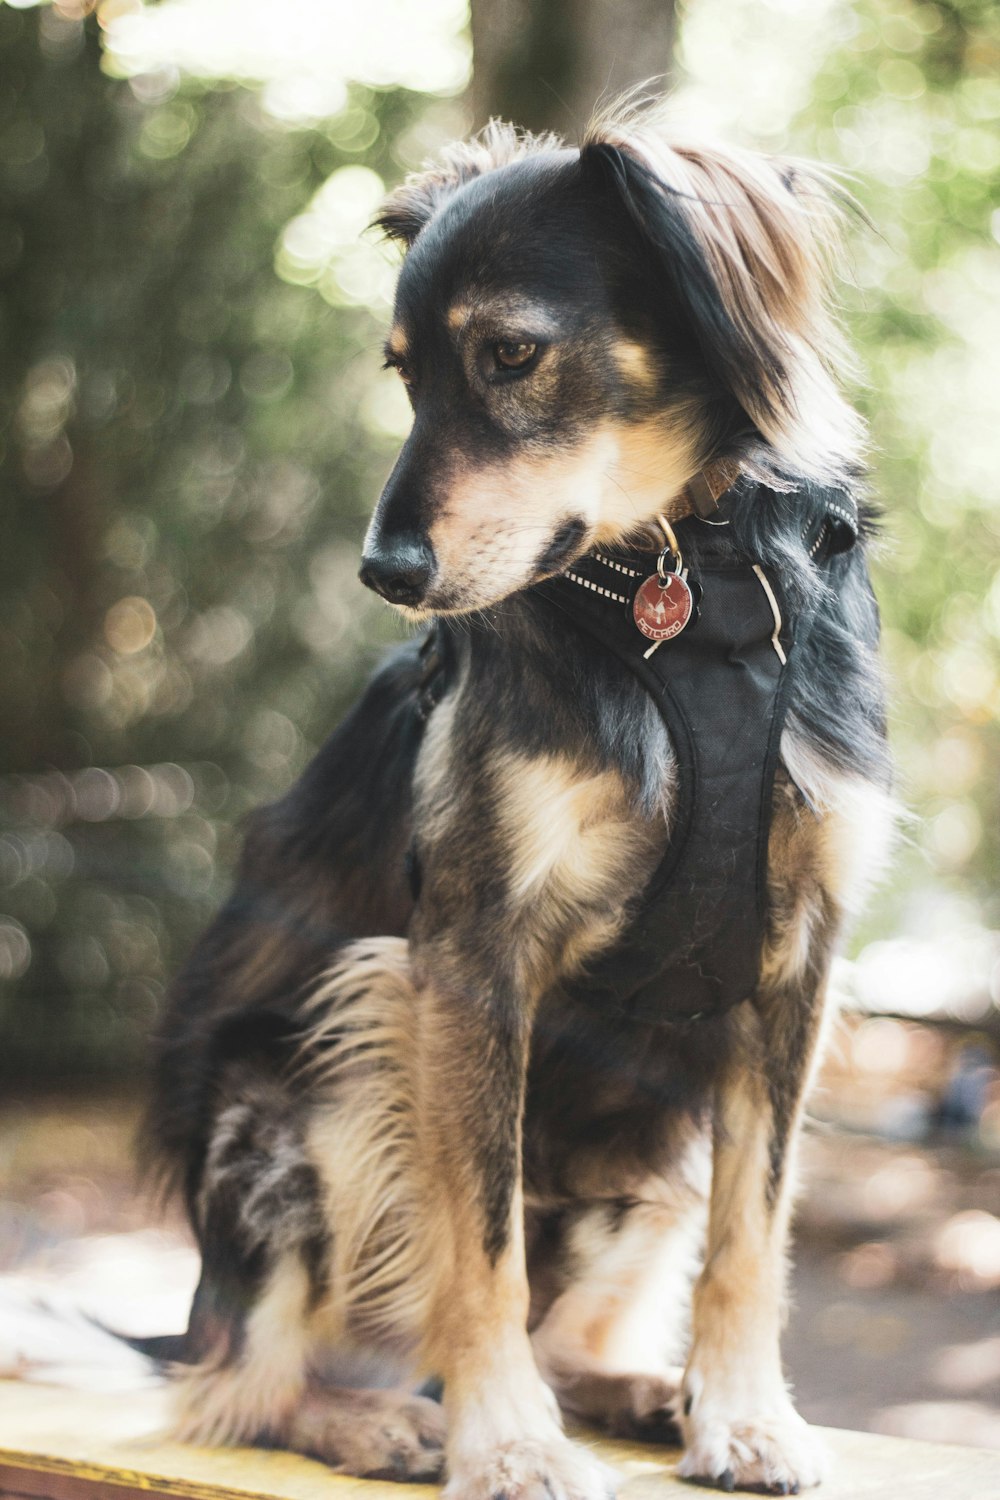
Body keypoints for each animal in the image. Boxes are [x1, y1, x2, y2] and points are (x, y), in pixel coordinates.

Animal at [138, 108, 893, 1500]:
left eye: (507, 355)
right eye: (402, 376)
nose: (383, 572)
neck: (686, 591)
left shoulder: (796, 967)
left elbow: (751, 1238)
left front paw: (744, 1414)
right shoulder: (470, 955)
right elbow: (474, 1244)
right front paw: (505, 1442)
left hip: (652, 1151)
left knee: (569, 1327)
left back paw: (640, 1390)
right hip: (307, 1085)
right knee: (237, 1386)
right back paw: (381, 1418)